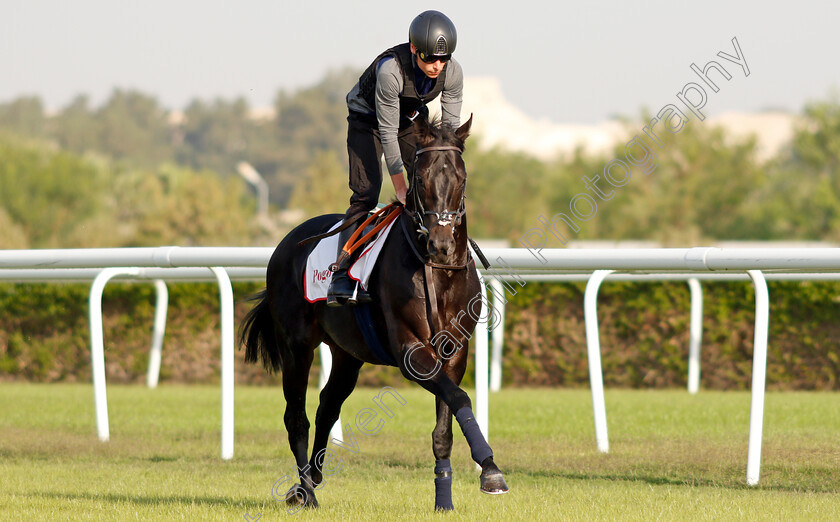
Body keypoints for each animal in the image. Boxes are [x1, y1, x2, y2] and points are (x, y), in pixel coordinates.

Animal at [240, 116, 508, 510]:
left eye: (462, 178)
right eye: (420, 179)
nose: (442, 245)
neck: (438, 273)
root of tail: (287, 241)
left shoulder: (455, 352)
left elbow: (446, 423)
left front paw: (449, 496)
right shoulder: (411, 351)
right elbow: (459, 397)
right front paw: (490, 470)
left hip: (347, 354)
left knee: (326, 407)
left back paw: (312, 478)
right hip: (296, 346)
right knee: (296, 417)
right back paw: (305, 491)